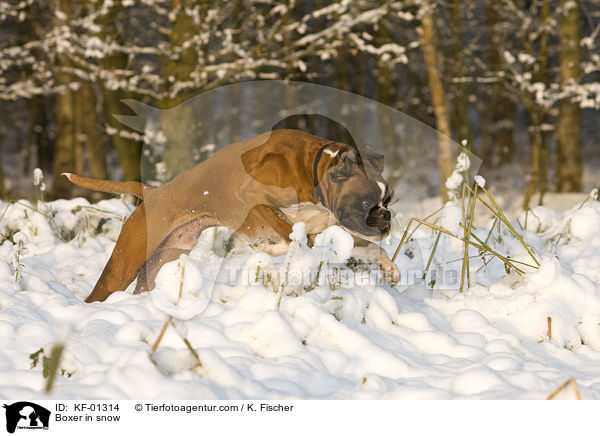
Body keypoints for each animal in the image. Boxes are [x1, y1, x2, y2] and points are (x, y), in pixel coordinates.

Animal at [67, 127, 398, 302]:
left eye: (387, 199)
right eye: (366, 201)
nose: (386, 217)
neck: (313, 169)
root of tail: (152, 192)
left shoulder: (321, 230)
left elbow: (370, 248)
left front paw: (390, 269)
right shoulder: (253, 197)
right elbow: (290, 232)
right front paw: (274, 247)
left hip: (158, 263)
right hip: (121, 268)